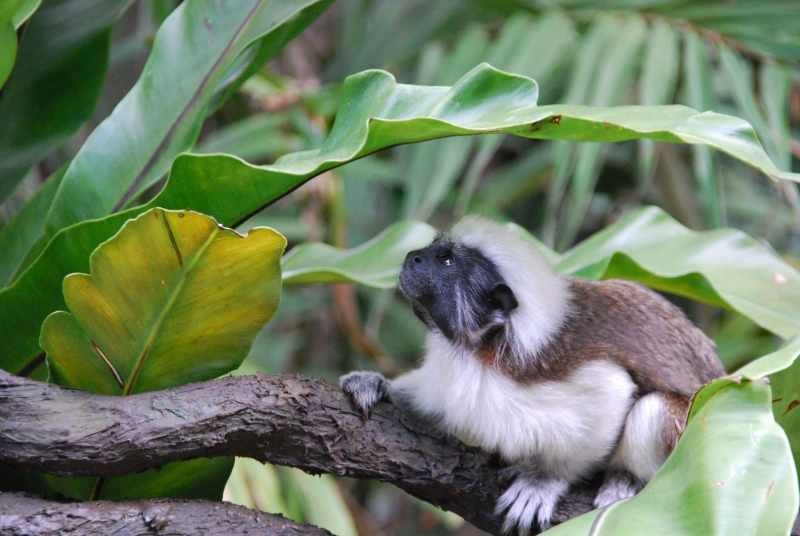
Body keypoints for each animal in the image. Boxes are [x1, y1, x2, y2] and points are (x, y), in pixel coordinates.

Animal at [340, 216, 724, 532]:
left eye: (446, 261)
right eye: (432, 251)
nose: (412, 257)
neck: (487, 342)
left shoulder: (550, 367)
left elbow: (610, 391)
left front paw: (545, 481)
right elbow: (430, 399)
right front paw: (377, 385)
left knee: (652, 409)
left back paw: (626, 480)